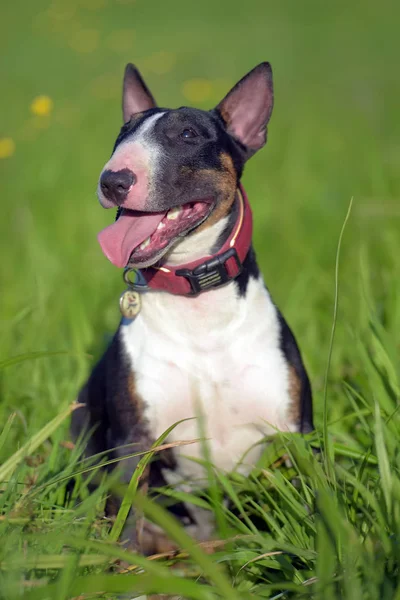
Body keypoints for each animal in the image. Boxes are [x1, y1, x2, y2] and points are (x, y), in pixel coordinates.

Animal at [72, 61, 312, 552]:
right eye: (121, 134)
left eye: (187, 134)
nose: (112, 180)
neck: (200, 311)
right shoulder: (134, 443)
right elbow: (126, 526)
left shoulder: (294, 433)